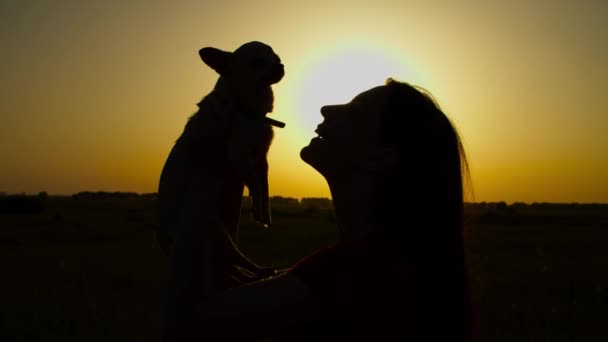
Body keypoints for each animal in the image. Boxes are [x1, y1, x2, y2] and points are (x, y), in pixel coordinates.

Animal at [158, 42, 286, 328]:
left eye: (276, 58)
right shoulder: (238, 155)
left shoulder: (261, 157)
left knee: (230, 267)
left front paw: (264, 211)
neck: (251, 111)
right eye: (256, 62)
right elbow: (255, 183)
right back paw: (255, 272)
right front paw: (258, 208)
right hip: (216, 232)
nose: (280, 65)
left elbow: (264, 185)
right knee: (232, 262)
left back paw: (257, 273)